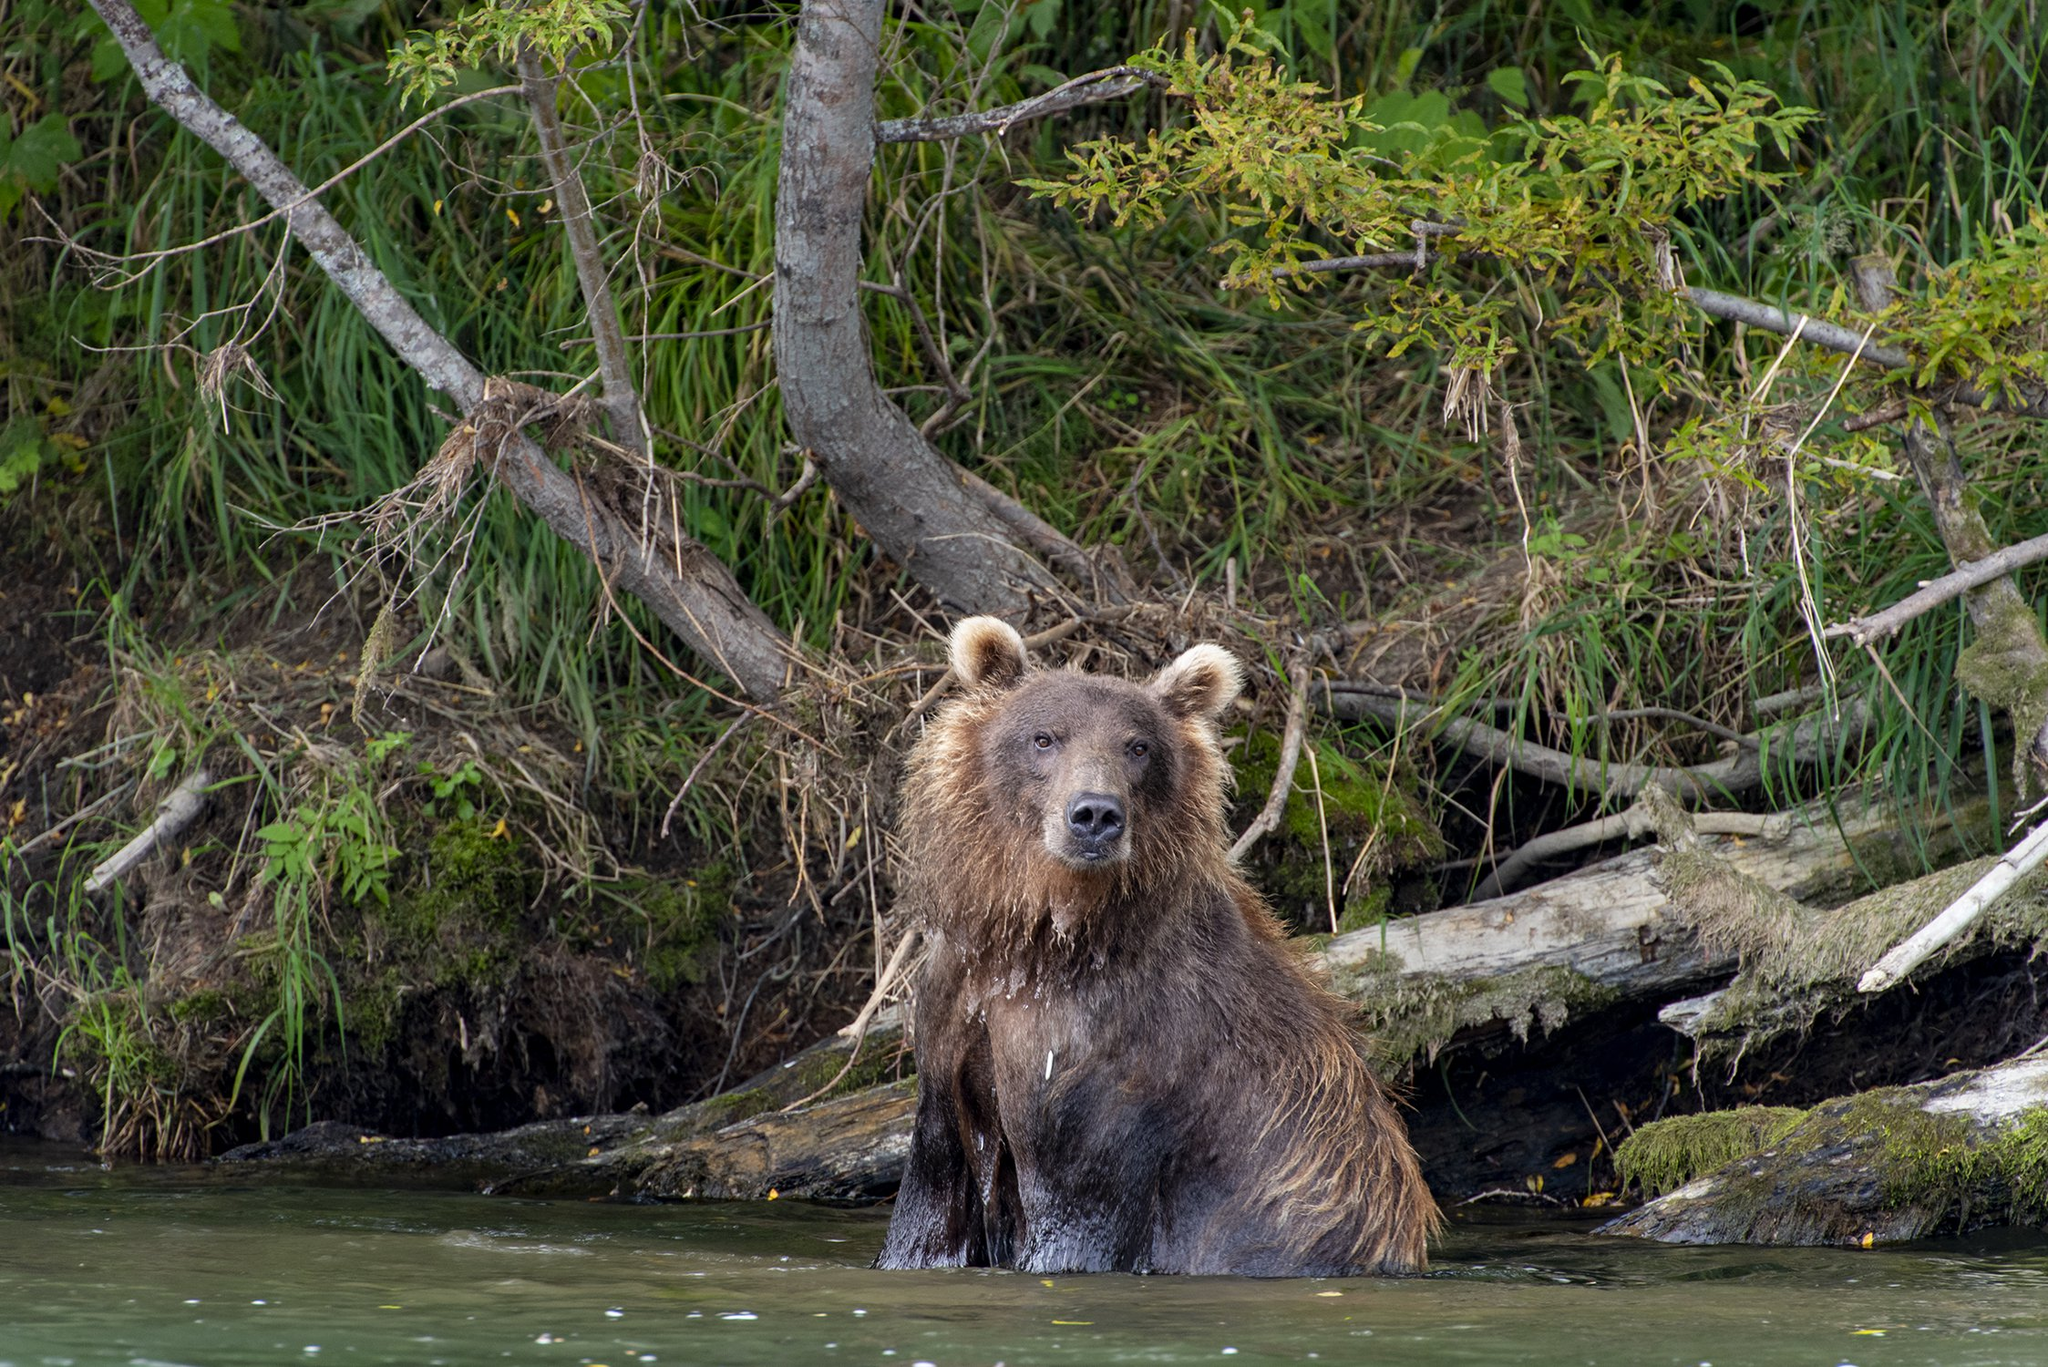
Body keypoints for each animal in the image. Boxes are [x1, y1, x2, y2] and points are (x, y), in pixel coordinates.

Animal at [880, 618, 1441, 1287]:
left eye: (1138, 747)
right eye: (1044, 738)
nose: (1095, 814)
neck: (1038, 941)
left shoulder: (1113, 1066)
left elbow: (1078, 1214)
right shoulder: (955, 1022)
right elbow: (928, 1212)